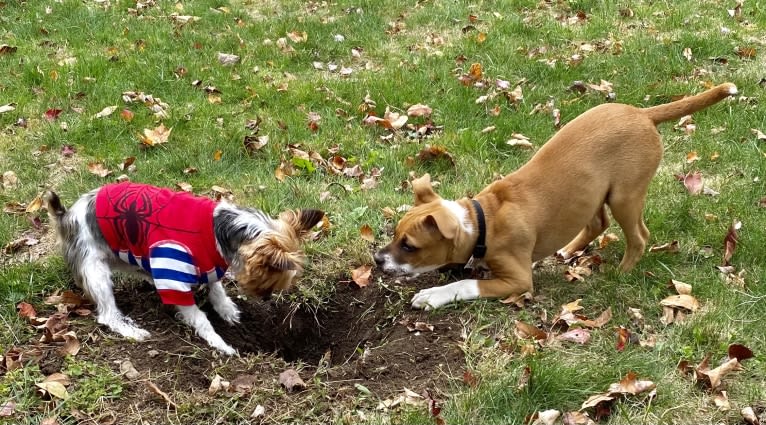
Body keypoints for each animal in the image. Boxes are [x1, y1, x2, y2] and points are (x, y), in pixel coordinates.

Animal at [45, 182, 320, 354]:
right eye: (269, 281)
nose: (267, 298)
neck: (221, 230)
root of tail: (66, 216)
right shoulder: (173, 274)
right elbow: (200, 317)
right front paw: (219, 343)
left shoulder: (210, 263)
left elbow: (216, 290)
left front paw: (227, 310)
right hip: (95, 270)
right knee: (107, 314)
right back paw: (132, 331)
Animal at [376, 83, 740, 308]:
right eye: (394, 235)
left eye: (410, 246)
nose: (377, 260)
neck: (482, 221)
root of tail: (643, 113)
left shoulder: (518, 280)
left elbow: (465, 284)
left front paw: (432, 295)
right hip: (592, 192)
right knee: (597, 223)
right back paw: (568, 249)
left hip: (625, 195)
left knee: (638, 235)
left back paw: (621, 272)